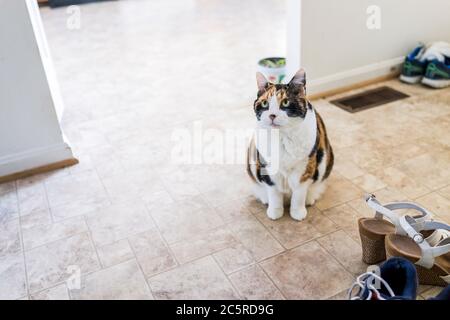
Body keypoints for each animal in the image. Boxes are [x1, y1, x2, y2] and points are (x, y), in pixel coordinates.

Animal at [246, 69, 334, 220]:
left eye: (286, 102)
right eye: (265, 104)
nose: (272, 115)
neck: (283, 137)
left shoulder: (305, 168)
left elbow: (299, 193)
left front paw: (297, 213)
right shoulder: (268, 168)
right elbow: (274, 191)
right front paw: (275, 212)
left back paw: (310, 198)